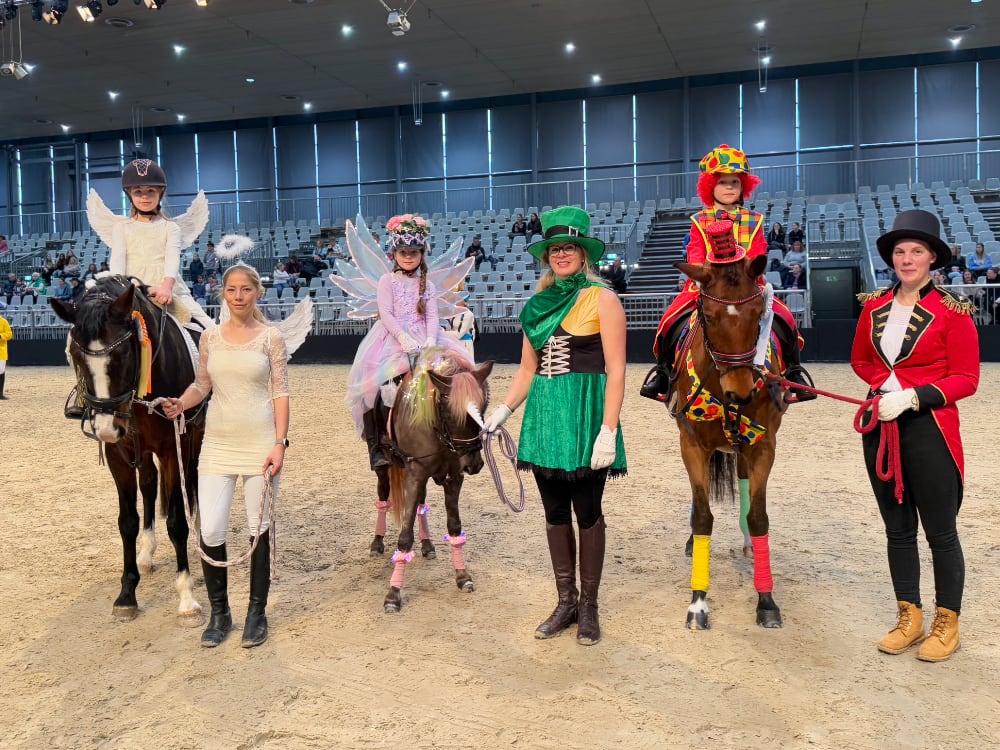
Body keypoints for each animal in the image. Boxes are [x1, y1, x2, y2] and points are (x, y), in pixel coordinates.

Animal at [51, 275, 205, 625]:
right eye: (77, 357)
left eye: (122, 354)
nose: (107, 427)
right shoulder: (118, 454)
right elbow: (127, 521)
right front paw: (126, 595)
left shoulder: (172, 448)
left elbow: (177, 521)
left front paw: (187, 598)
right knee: (149, 485)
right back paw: (147, 553)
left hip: (196, 440)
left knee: (196, 488)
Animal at [368, 349, 493, 614]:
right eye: (450, 411)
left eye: (484, 405)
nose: (475, 464)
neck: (437, 430)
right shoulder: (414, 475)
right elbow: (405, 536)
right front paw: (393, 594)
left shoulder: (454, 477)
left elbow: (454, 526)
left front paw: (462, 576)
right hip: (384, 468)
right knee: (383, 496)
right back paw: (377, 543)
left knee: (420, 506)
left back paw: (427, 545)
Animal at [670, 254, 787, 630]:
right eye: (707, 315)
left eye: (758, 313)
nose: (741, 390)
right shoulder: (691, 445)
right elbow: (703, 517)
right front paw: (698, 602)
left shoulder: (763, 445)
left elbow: (759, 517)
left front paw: (766, 600)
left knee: (745, 483)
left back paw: (749, 544)